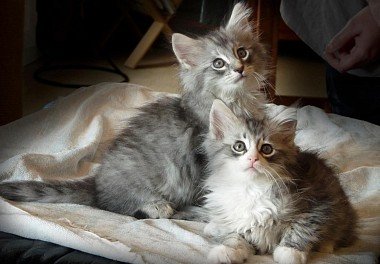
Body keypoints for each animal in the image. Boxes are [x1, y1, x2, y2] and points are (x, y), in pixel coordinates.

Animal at [0, 3, 268, 220]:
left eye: (242, 52)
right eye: (218, 63)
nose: (240, 68)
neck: (236, 100)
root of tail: (97, 184)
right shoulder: (206, 158)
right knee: (116, 206)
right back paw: (156, 206)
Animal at [203, 99, 358, 264]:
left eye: (266, 148)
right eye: (239, 146)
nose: (253, 159)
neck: (252, 188)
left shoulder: (319, 204)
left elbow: (301, 228)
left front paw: (290, 251)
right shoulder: (235, 219)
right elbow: (233, 234)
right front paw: (228, 249)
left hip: (340, 209)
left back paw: (326, 245)